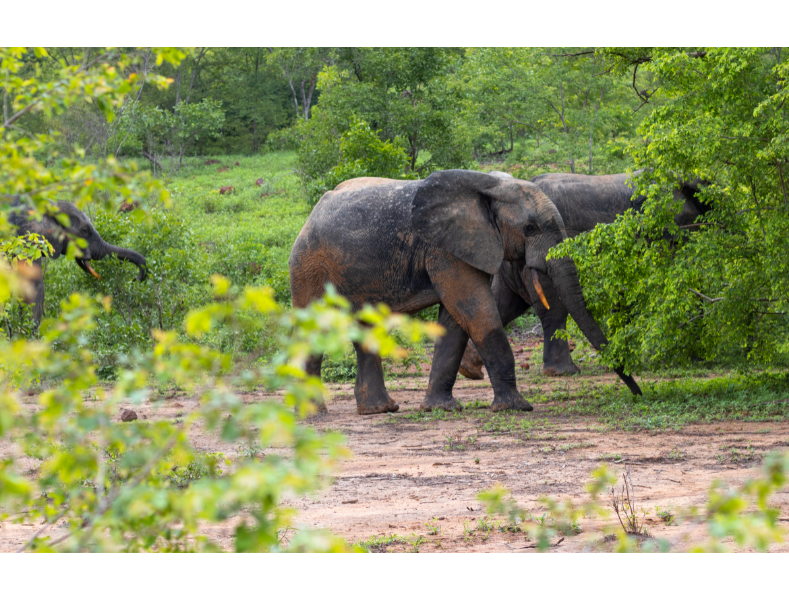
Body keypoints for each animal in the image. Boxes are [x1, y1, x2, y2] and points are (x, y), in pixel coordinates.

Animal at [290, 168, 640, 412]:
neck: (489, 185)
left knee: (367, 330)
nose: (637, 393)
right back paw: (315, 415)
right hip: (309, 266)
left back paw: (380, 411)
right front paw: (516, 408)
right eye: (529, 229)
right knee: (313, 331)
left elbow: (455, 321)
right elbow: (476, 310)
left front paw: (442, 409)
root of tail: (309, 217)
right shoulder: (444, 249)